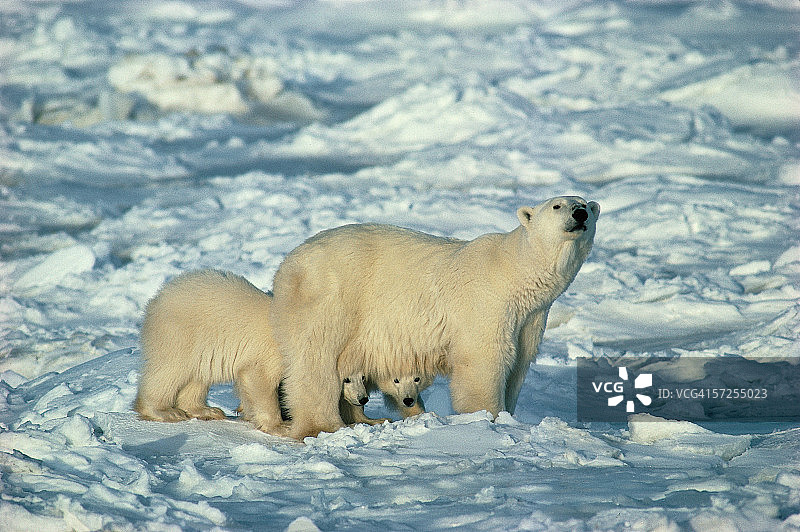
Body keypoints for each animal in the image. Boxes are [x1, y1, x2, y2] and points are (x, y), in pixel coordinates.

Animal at [271, 196, 599, 440]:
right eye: (557, 205)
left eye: (585, 203)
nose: (581, 213)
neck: (512, 272)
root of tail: (288, 264)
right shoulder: (484, 303)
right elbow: (485, 360)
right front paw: (487, 418)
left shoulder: (530, 318)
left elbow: (518, 363)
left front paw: (508, 414)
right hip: (330, 296)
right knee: (316, 359)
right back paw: (322, 425)